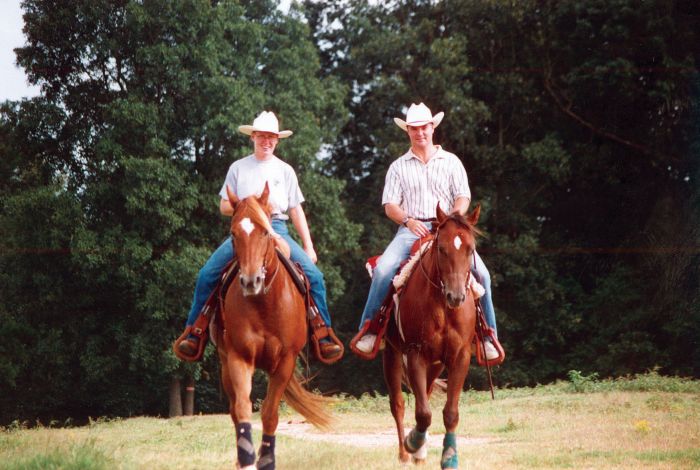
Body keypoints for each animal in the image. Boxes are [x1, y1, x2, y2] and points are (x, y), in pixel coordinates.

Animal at [217, 185, 332, 470]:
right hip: (224, 365)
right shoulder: (238, 357)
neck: (264, 304)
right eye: (233, 234)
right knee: (234, 410)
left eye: (266, 232)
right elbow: (243, 409)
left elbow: (270, 413)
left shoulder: (285, 362)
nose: (251, 281)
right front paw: (246, 458)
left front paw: (266, 460)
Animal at [382, 204, 482, 468]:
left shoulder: (459, 357)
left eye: (471, 249)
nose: (456, 296)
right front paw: (412, 442)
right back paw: (405, 454)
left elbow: (450, 412)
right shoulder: (415, 353)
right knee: (398, 404)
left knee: (424, 394)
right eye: (441, 248)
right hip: (392, 354)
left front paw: (449, 456)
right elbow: (423, 413)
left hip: (436, 364)